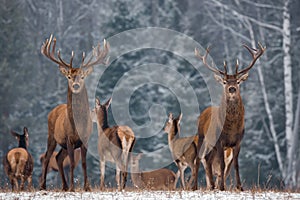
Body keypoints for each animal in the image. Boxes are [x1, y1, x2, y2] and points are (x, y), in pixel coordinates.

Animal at [39, 35, 109, 191]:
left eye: (82, 76)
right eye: (69, 77)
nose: (76, 85)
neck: (78, 125)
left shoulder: (85, 140)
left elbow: (83, 163)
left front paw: (86, 187)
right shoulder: (69, 139)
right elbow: (71, 163)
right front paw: (72, 187)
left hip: (62, 144)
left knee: (58, 157)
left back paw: (64, 186)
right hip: (51, 135)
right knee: (47, 157)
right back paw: (43, 185)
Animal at [193, 42, 266, 191]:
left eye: (238, 82)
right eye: (225, 82)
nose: (232, 88)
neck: (231, 129)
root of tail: (204, 111)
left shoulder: (238, 142)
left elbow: (236, 165)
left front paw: (239, 186)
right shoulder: (220, 142)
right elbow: (222, 164)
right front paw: (222, 187)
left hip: (212, 145)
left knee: (208, 159)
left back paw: (212, 186)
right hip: (202, 137)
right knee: (198, 159)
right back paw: (195, 186)